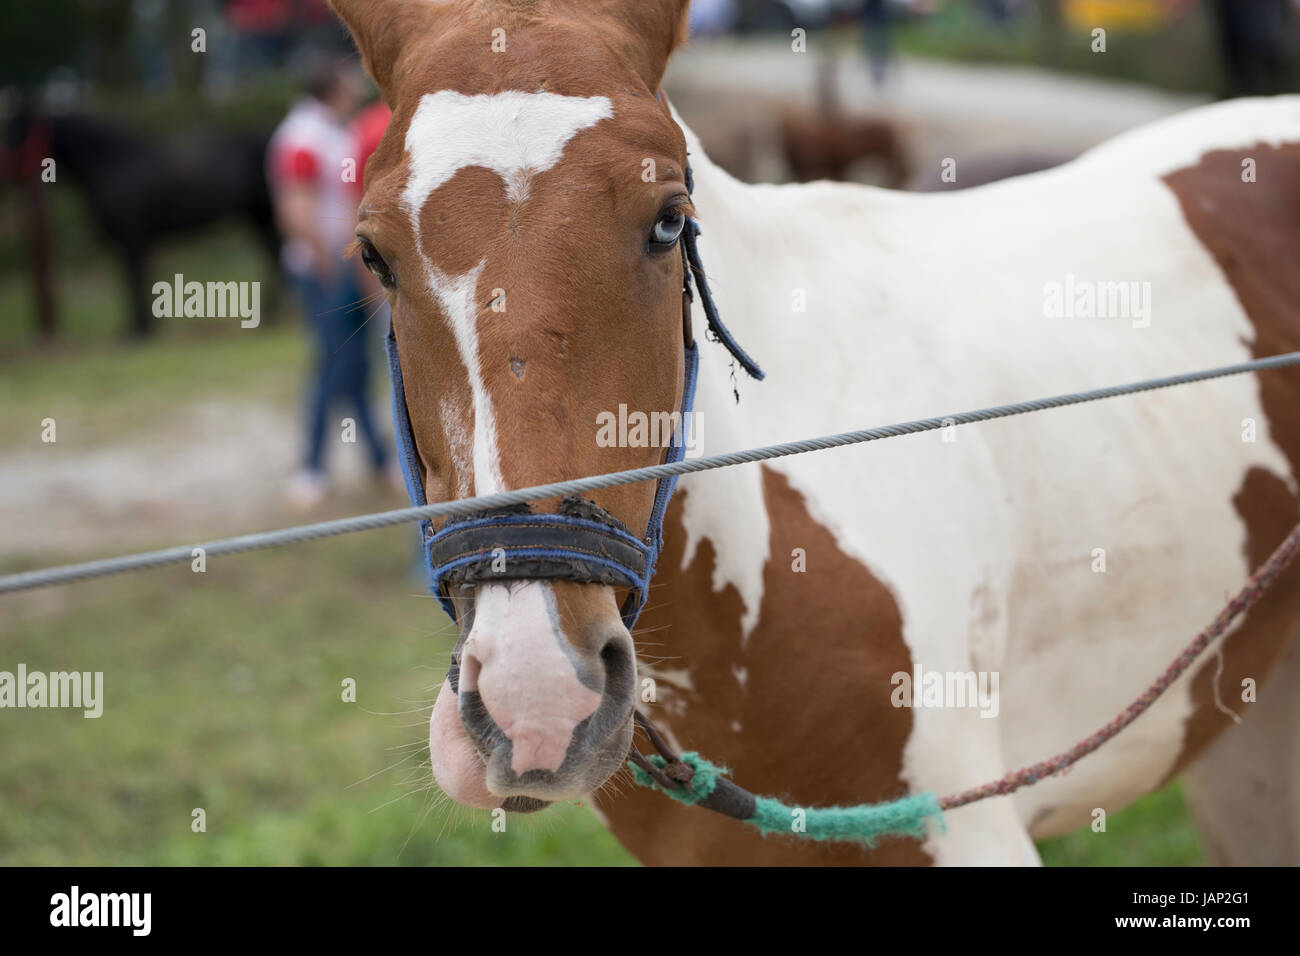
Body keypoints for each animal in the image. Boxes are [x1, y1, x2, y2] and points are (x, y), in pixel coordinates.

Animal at [5, 108, 280, 338]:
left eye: (16, 129)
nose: (4, 168)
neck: (112, 163)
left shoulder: (131, 238)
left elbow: (133, 279)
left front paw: (139, 330)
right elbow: (139, 279)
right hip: (258, 217)